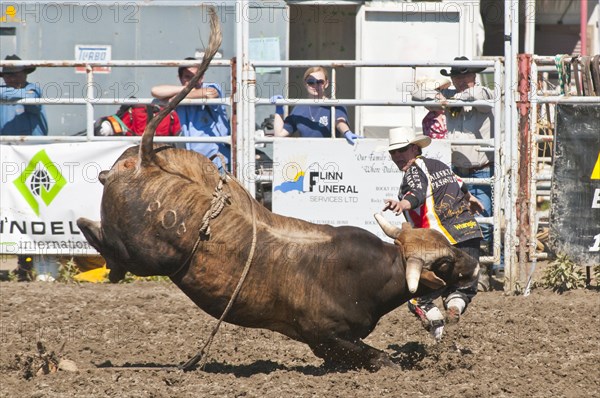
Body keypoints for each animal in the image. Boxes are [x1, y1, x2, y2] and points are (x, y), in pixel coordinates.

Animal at [76, 8, 478, 370]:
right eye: (444, 263)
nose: (473, 264)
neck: (375, 272)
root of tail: (147, 159)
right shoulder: (326, 336)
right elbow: (377, 358)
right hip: (144, 253)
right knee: (102, 236)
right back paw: (103, 254)